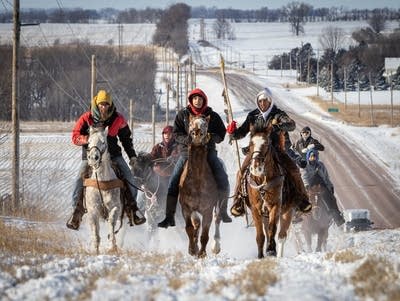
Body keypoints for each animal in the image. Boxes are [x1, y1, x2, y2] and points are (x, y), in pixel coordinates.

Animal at [85, 125, 125, 254]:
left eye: (103, 142)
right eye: (88, 142)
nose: (94, 158)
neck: (101, 183)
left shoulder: (116, 207)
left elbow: (111, 221)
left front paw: (112, 246)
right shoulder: (93, 211)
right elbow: (96, 234)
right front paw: (96, 251)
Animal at [177, 113, 222, 256]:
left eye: (205, 124)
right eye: (191, 123)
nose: (196, 133)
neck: (197, 181)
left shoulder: (207, 209)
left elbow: (205, 235)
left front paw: (202, 253)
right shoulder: (186, 208)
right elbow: (190, 228)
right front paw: (192, 250)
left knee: (217, 219)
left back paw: (216, 247)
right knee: (196, 224)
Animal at [245, 120, 296, 256]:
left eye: (266, 144)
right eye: (251, 144)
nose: (256, 167)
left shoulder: (275, 206)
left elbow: (272, 229)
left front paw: (271, 249)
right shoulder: (256, 209)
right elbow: (260, 236)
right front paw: (260, 256)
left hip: (287, 212)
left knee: (282, 236)